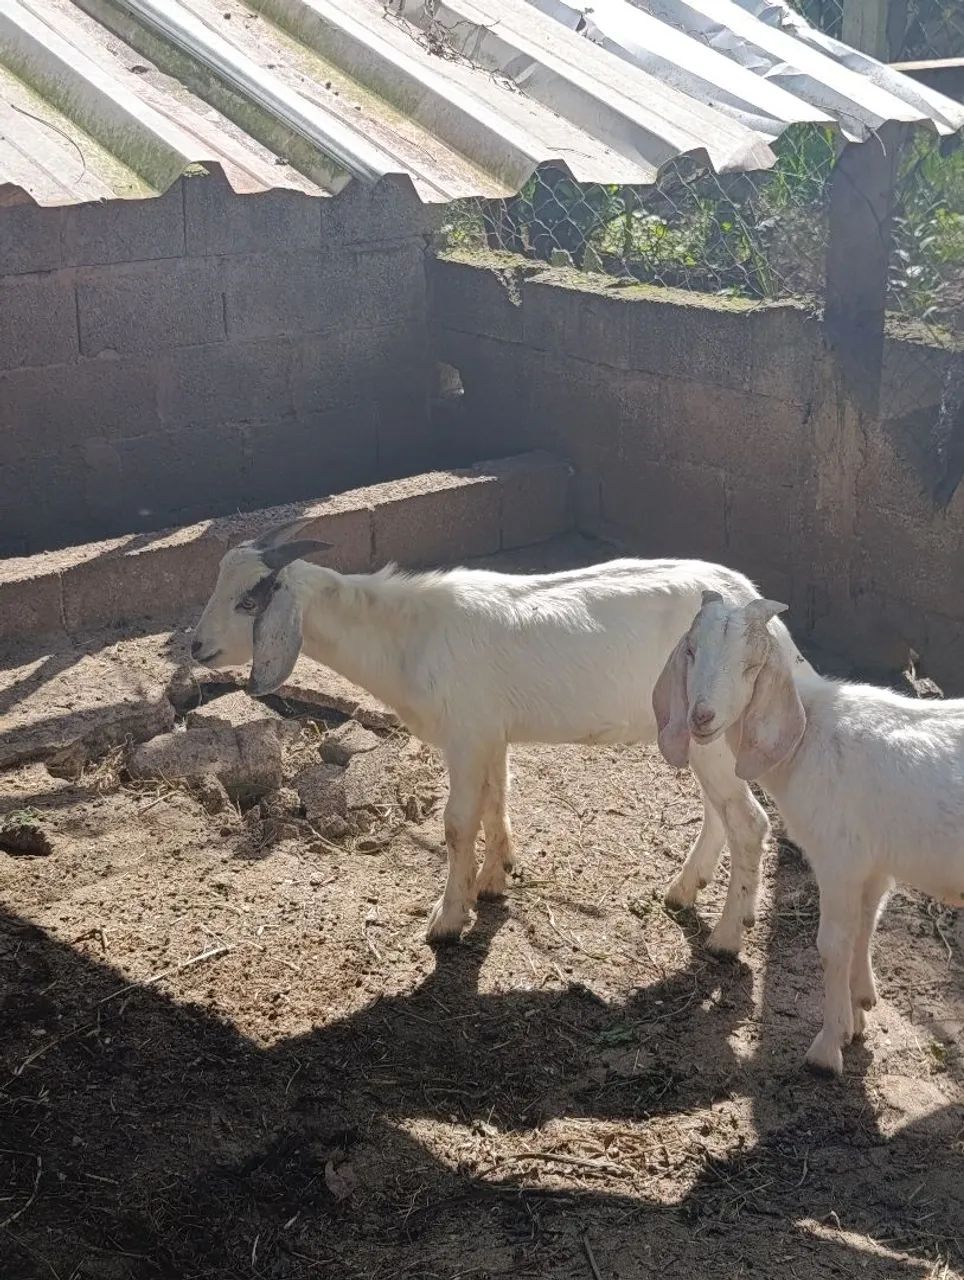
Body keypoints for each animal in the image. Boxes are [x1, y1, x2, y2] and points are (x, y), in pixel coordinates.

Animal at [192, 517, 806, 945]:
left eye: (250, 600)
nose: (196, 647)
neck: (405, 636)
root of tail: (758, 612)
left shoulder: (466, 735)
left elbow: (458, 822)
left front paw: (447, 918)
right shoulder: (490, 734)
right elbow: (496, 799)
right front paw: (493, 879)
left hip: (716, 727)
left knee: (749, 822)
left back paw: (726, 937)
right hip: (699, 734)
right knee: (719, 812)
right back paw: (683, 892)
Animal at [653, 590, 964, 1075]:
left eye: (751, 666)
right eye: (690, 651)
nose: (701, 716)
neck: (807, 733)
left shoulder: (839, 859)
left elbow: (833, 944)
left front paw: (827, 1047)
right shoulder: (873, 863)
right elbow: (865, 927)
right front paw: (859, 1012)